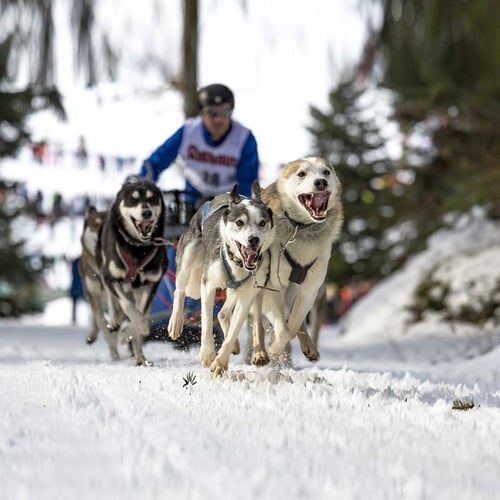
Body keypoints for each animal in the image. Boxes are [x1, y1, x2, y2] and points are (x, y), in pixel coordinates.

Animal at [95, 178, 168, 366]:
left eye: (152, 198)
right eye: (132, 199)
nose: (146, 212)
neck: (137, 249)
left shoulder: (151, 282)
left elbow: (140, 314)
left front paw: (134, 331)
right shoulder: (111, 278)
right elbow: (128, 307)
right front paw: (130, 329)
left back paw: (141, 357)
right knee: (113, 300)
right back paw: (115, 322)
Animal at [170, 183, 276, 376]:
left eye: (262, 222)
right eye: (240, 222)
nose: (254, 239)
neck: (238, 263)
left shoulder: (246, 296)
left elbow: (233, 331)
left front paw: (220, 361)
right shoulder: (208, 286)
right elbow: (206, 324)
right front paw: (207, 354)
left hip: (245, 290)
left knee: (226, 313)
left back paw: (246, 348)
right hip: (188, 257)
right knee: (179, 291)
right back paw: (175, 322)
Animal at [254, 158, 344, 362]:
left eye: (326, 172)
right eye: (302, 173)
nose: (321, 182)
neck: (300, 228)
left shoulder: (309, 290)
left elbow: (293, 325)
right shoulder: (274, 286)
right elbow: (283, 329)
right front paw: (273, 348)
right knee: (256, 320)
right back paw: (260, 352)